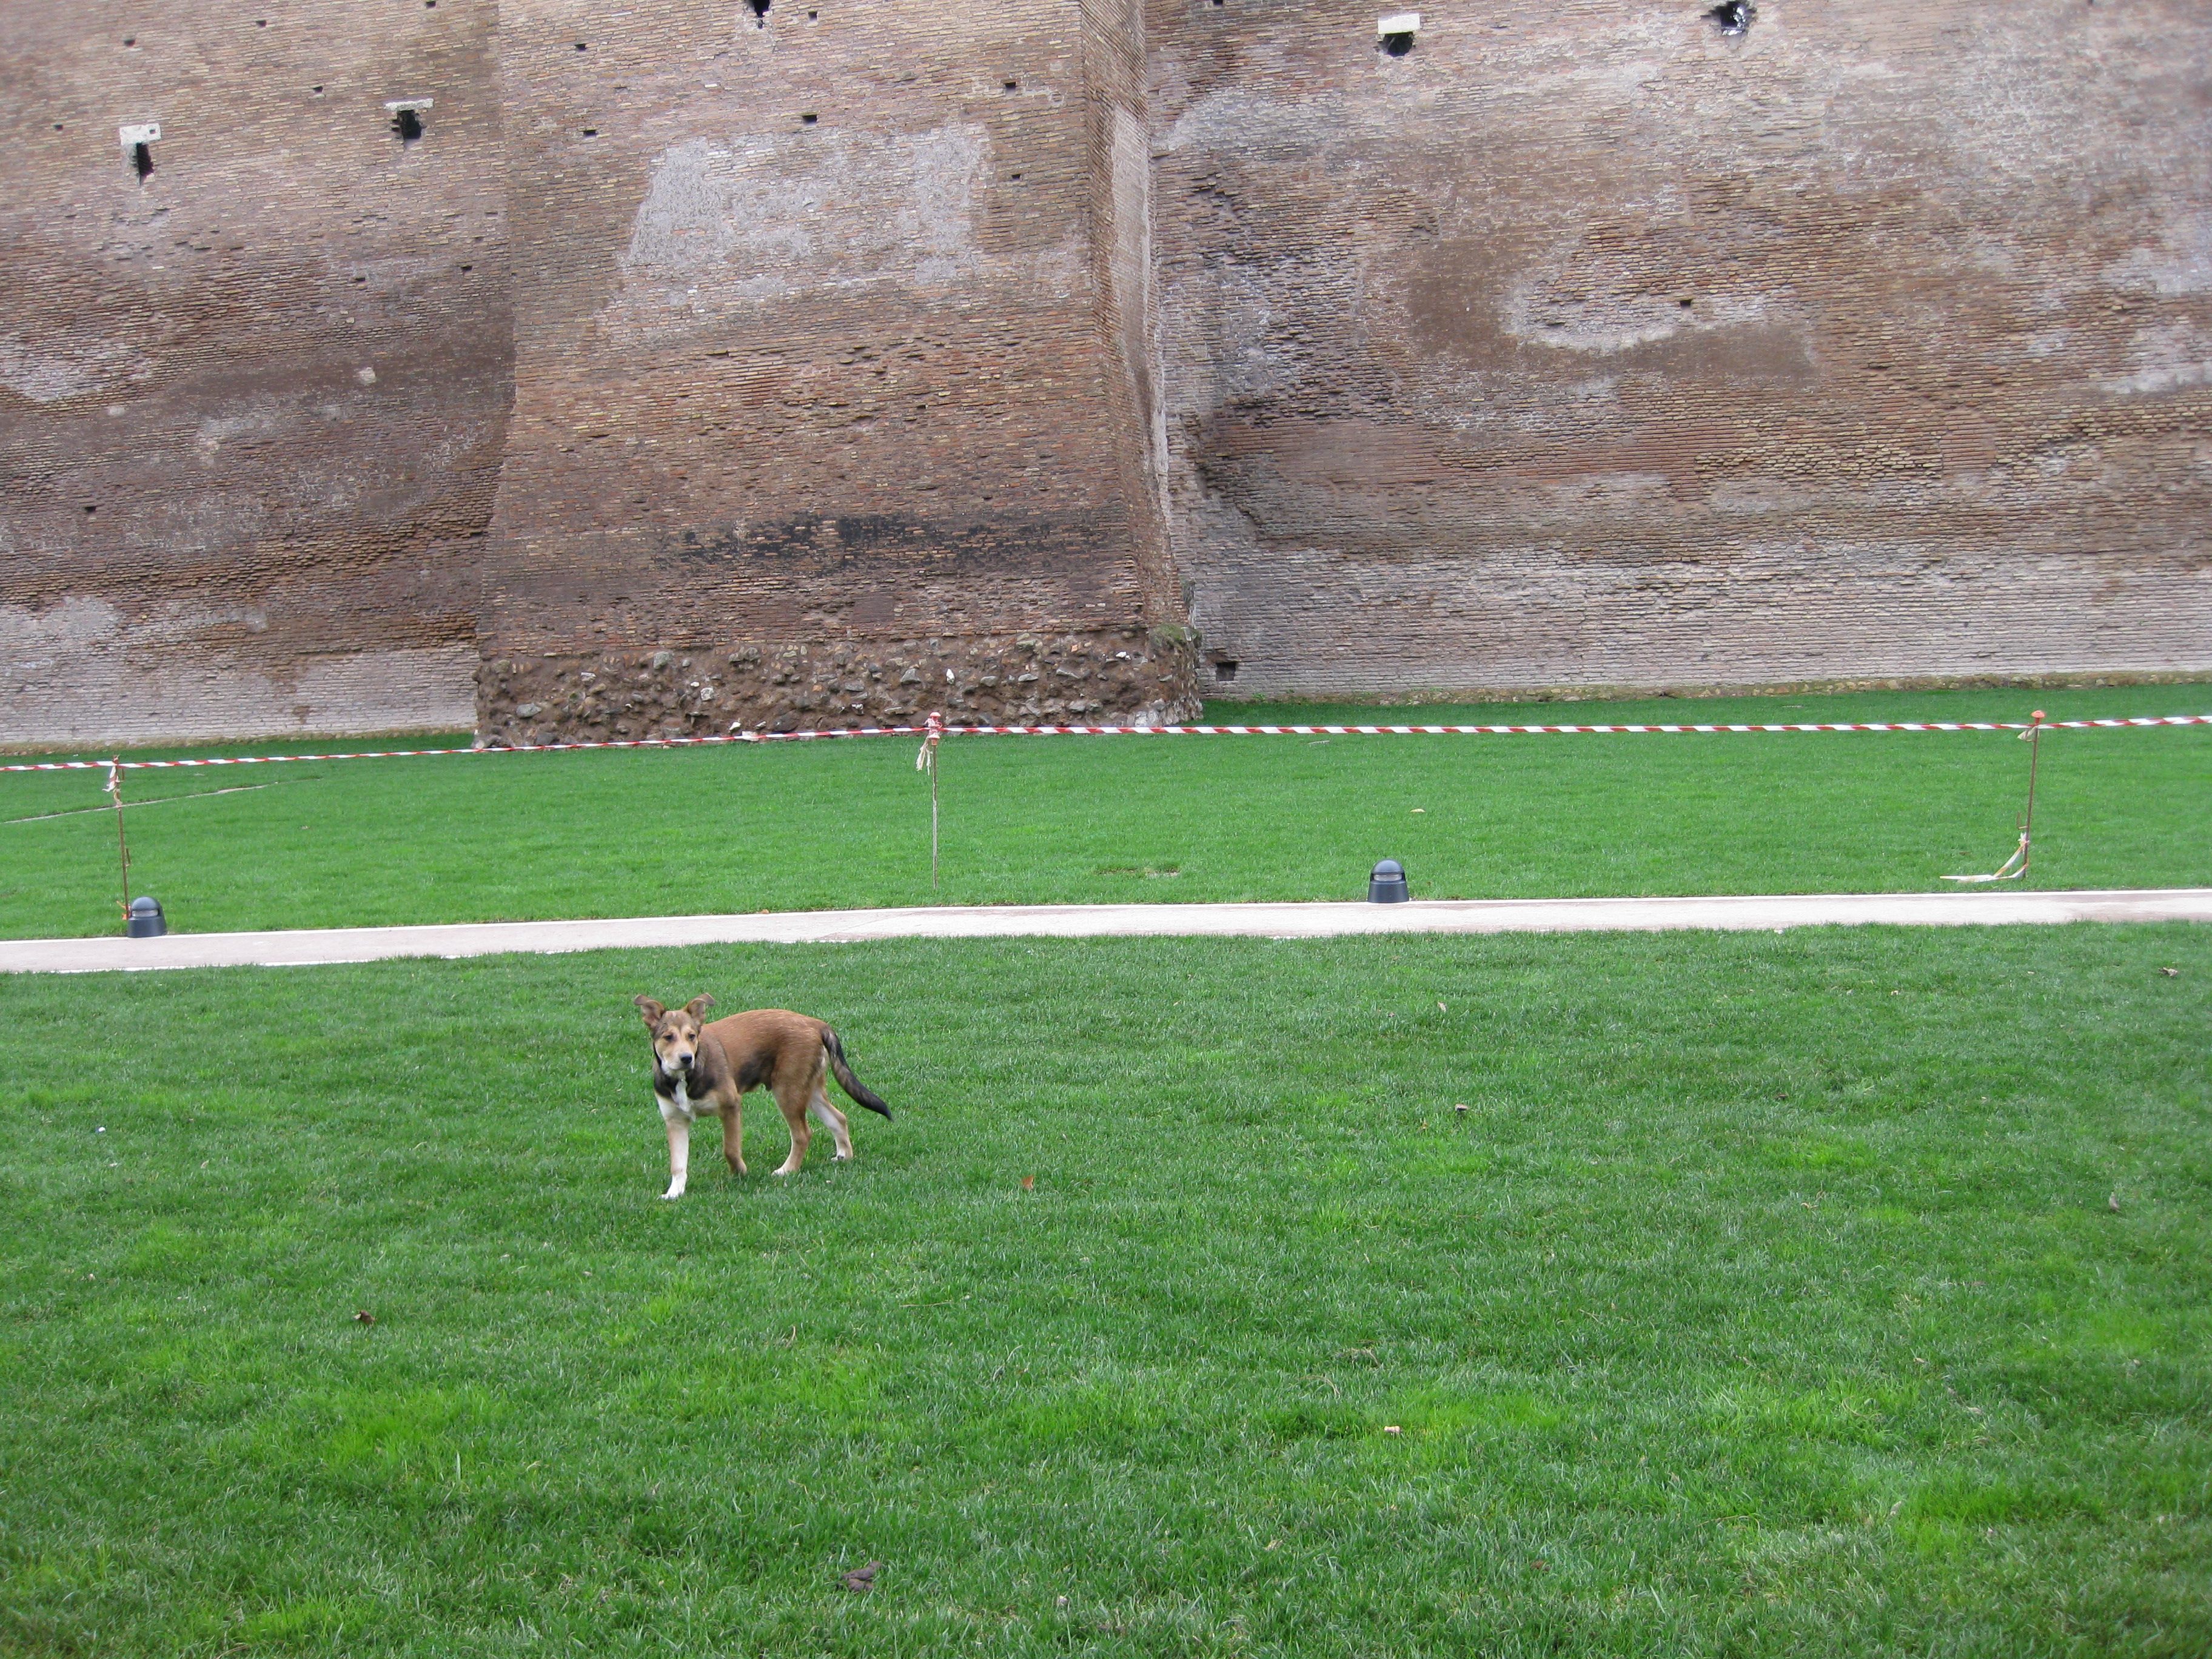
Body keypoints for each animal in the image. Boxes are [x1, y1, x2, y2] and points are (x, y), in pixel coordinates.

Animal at [632, 995, 889, 1203]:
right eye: (668, 1037)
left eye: (692, 1036)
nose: (686, 1058)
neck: (685, 1078)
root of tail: (816, 1024)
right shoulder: (675, 1121)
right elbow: (678, 1164)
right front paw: (674, 1193)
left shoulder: (731, 1106)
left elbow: (730, 1149)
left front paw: (740, 1174)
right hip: (809, 1089)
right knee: (838, 1118)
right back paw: (844, 1156)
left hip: (788, 1090)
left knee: (803, 1134)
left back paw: (787, 1170)